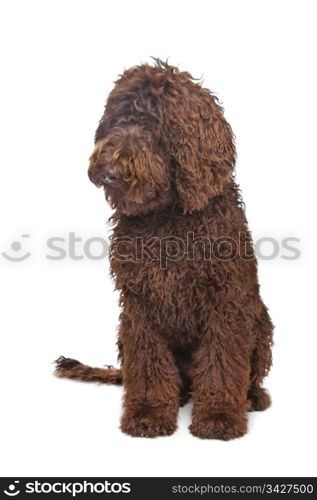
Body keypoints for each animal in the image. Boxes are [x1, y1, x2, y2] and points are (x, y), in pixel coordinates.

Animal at [55, 58, 272, 440]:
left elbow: (221, 362)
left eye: (154, 125)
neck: (167, 219)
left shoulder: (224, 303)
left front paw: (219, 417)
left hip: (261, 323)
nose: (108, 169)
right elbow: (149, 366)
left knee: (249, 374)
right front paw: (148, 413)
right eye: (118, 118)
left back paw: (251, 397)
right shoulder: (140, 305)